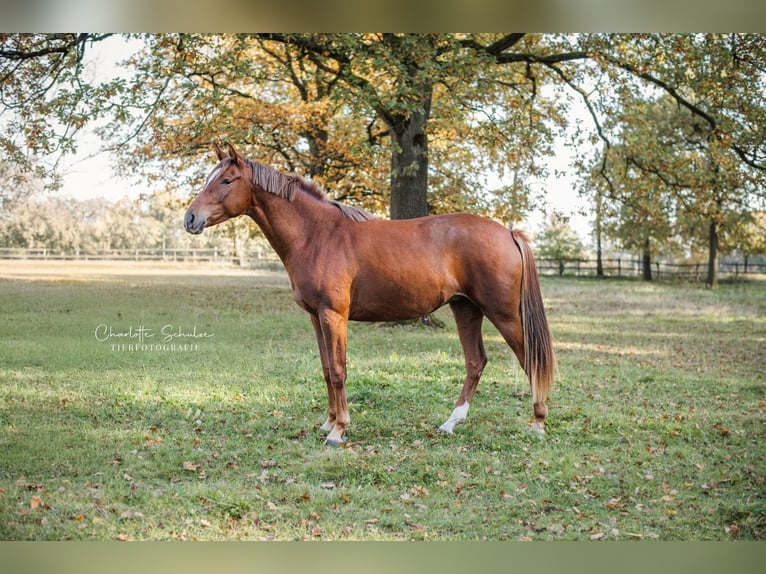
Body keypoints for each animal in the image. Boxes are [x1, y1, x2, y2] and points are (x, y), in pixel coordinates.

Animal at [186, 142, 560, 448]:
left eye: (227, 180)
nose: (190, 218)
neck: (317, 234)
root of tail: (508, 232)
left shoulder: (333, 315)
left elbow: (339, 370)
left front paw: (339, 431)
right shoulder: (316, 317)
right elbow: (326, 368)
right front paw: (328, 423)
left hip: (502, 313)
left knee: (529, 358)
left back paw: (537, 423)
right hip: (466, 309)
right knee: (475, 362)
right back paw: (451, 423)